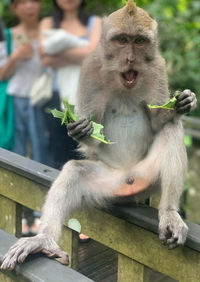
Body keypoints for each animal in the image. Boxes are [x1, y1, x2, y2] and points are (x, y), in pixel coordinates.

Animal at [1, 0, 197, 268]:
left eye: (139, 41)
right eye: (122, 39)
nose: (130, 58)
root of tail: (129, 177)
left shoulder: (157, 68)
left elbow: (160, 122)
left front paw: (183, 102)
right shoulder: (90, 69)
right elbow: (92, 139)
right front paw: (80, 130)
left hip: (148, 178)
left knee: (171, 130)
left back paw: (169, 213)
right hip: (109, 183)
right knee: (74, 172)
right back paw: (43, 241)